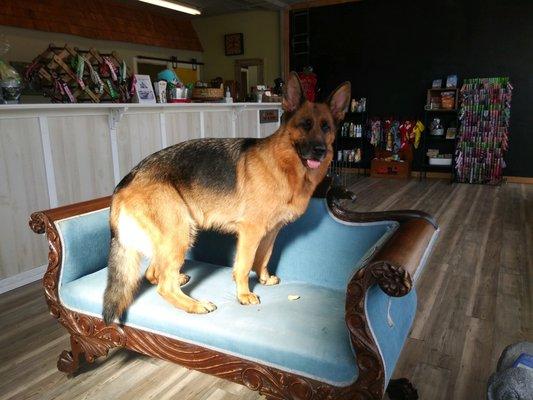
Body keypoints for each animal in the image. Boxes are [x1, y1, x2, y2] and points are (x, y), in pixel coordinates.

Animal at [102, 71, 352, 322]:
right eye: (305, 125)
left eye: (326, 127)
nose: (320, 151)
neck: (285, 165)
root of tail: (126, 180)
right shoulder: (251, 232)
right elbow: (245, 264)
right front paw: (244, 294)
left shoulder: (271, 231)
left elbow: (264, 256)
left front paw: (263, 278)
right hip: (180, 232)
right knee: (164, 285)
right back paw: (195, 305)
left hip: (172, 236)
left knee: (154, 273)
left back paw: (179, 280)